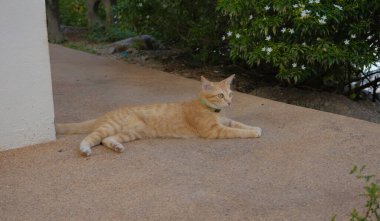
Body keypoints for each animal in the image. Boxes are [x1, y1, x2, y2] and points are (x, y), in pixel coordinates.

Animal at [55, 75, 262, 156]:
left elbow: (240, 124)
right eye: (220, 95)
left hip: (131, 133)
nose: (229, 102)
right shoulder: (214, 131)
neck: (215, 111)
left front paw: (255, 127)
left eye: (230, 94)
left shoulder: (227, 121)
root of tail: (104, 114)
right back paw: (85, 149)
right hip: (109, 127)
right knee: (90, 137)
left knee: (107, 140)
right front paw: (253, 133)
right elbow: (238, 132)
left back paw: (116, 147)